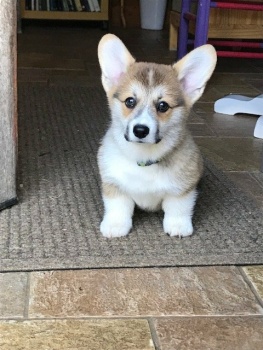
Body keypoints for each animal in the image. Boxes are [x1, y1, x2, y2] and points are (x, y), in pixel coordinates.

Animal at [97, 33, 217, 238]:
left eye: (163, 106)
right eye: (130, 101)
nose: (140, 130)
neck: (144, 158)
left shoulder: (183, 189)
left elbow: (178, 208)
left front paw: (178, 226)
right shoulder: (114, 184)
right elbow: (117, 207)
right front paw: (115, 225)